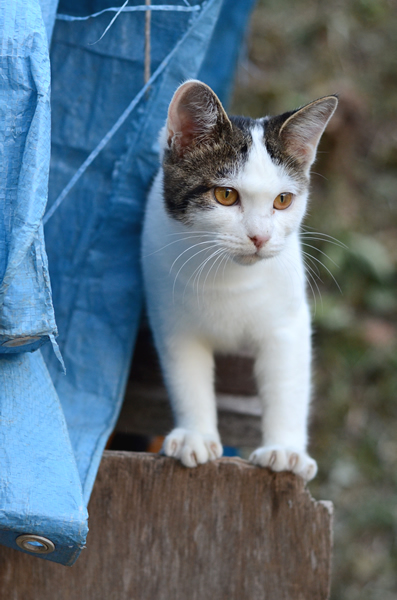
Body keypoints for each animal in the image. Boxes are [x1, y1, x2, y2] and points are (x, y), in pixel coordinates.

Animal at [141, 81, 336, 482]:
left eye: (283, 200)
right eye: (226, 195)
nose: (260, 237)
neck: (230, 278)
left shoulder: (288, 322)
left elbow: (287, 381)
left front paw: (285, 449)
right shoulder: (170, 317)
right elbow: (186, 374)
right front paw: (196, 435)